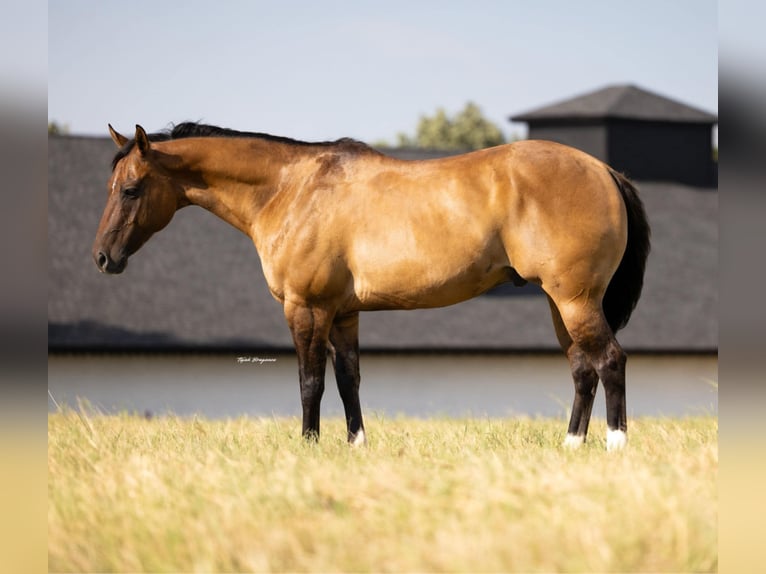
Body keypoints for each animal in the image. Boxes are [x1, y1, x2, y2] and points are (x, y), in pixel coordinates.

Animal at [93, 122, 649, 450]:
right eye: (111, 186)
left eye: (131, 189)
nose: (102, 257)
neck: (291, 189)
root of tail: (604, 170)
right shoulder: (343, 313)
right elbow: (348, 381)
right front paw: (355, 446)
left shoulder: (307, 308)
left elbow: (310, 382)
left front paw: (308, 447)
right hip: (561, 304)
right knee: (582, 369)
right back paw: (571, 447)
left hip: (575, 300)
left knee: (610, 361)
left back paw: (615, 447)